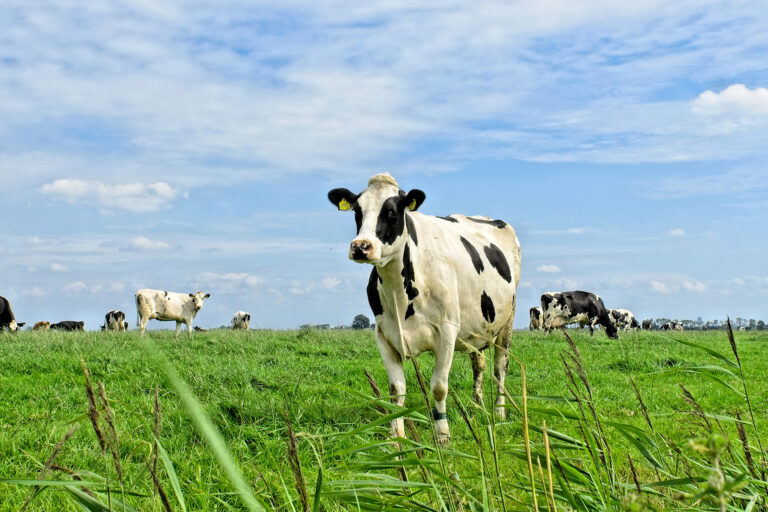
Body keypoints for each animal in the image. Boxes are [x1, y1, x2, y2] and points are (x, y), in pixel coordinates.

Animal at [328, 173, 520, 444]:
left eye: (393, 212)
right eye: (357, 211)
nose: (361, 246)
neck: (399, 292)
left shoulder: (447, 331)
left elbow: (439, 387)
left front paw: (442, 435)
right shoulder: (383, 333)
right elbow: (396, 389)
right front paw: (396, 435)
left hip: (507, 321)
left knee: (501, 366)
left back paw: (499, 412)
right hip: (478, 326)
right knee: (479, 361)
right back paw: (477, 405)